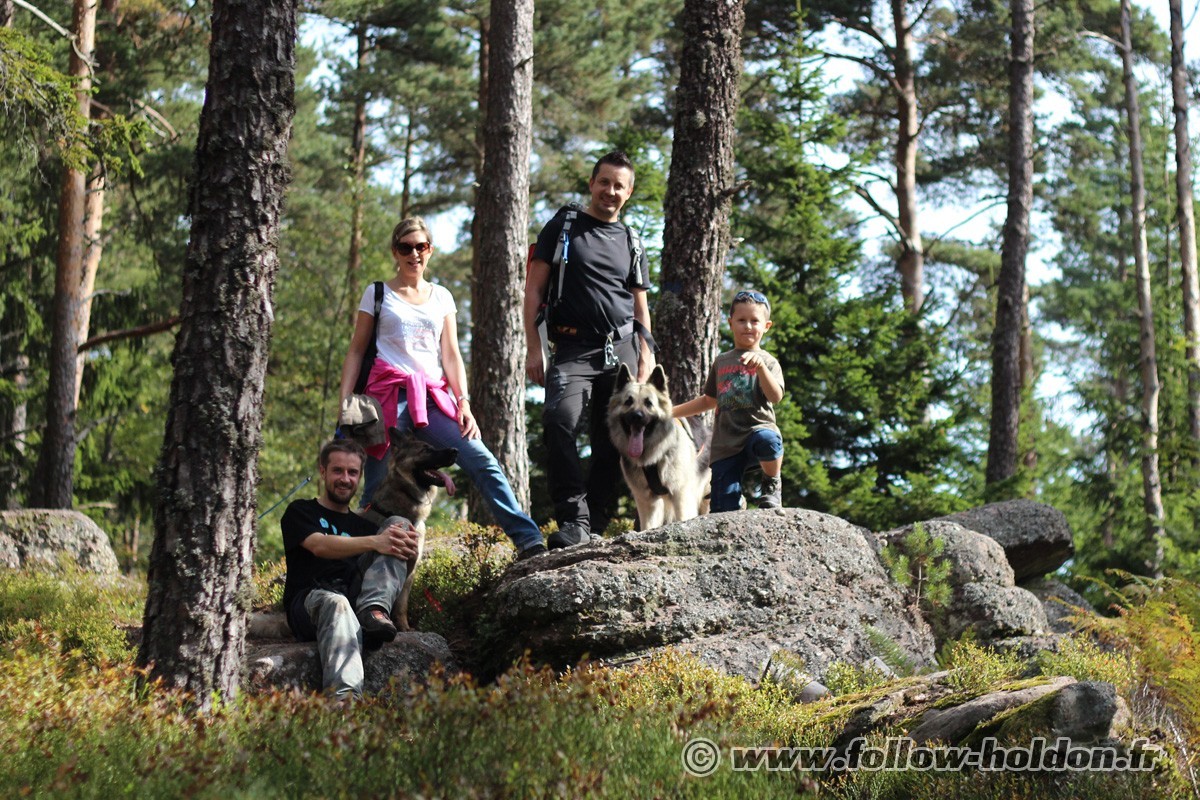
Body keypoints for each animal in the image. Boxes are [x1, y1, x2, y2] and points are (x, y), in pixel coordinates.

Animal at [357, 429, 456, 628]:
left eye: (432, 447)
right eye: (426, 450)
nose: (456, 450)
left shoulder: (410, 572)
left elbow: (402, 605)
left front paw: (404, 627)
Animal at [604, 364, 705, 532]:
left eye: (649, 403)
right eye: (628, 401)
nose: (636, 417)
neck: (653, 457)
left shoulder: (681, 494)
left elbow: (684, 518)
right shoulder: (647, 501)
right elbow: (647, 526)